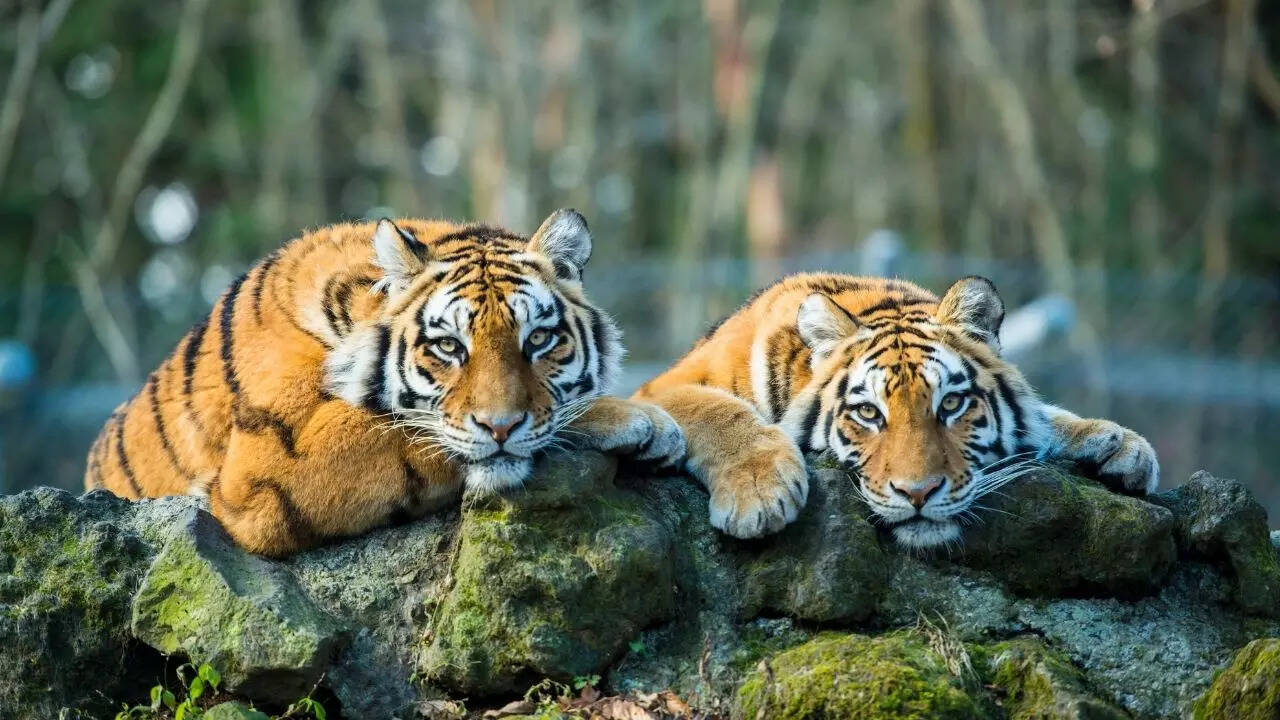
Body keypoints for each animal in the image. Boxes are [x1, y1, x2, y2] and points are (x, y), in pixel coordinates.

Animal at [84, 209, 685, 556]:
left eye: (538, 339)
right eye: (449, 347)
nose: (501, 428)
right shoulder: (263, 470)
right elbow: (408, 430)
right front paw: (638, 419)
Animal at [634, 273, 1158, 549]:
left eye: (951, 404)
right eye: (868, 413)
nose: (918, 494)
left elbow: (1045, 416)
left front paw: (1120, 444)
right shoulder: (660, 389)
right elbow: (719, 410)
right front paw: (759, 494)